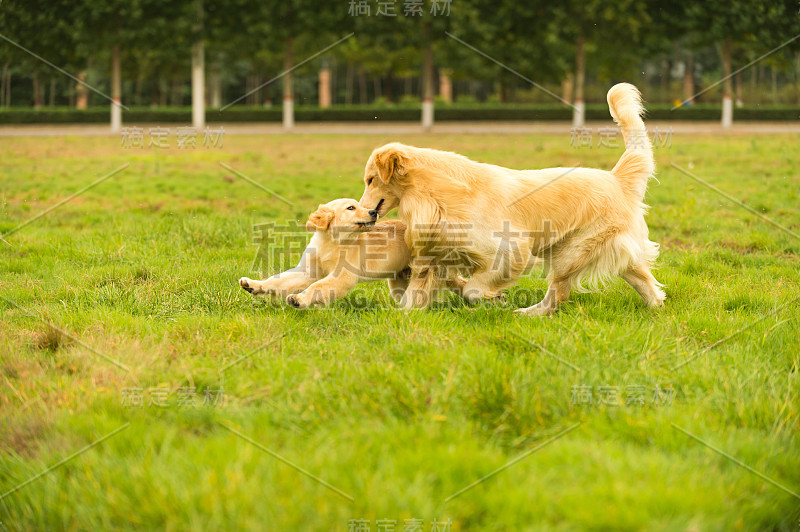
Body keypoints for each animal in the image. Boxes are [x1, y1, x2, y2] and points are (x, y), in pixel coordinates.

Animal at [238, 198, 412, 308]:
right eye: (351, 208)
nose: (374, 212)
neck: (331, 243)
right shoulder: (308, 271)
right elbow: (278, 280)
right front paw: (253, 284)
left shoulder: (342, 276)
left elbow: (317, 286)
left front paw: (298, 299)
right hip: (398, 281)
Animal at [360, 83, 664, 314]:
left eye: (370, 180)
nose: (366, 212)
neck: (438, 194)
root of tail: (616, 179)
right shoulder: (436, 253)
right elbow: (418, 293)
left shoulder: (510, 250)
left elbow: (473, 288)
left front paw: (493, 297)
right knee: (643, 280)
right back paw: (656, 308)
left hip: (571, 252)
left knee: (559, 292)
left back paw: (530, 313)